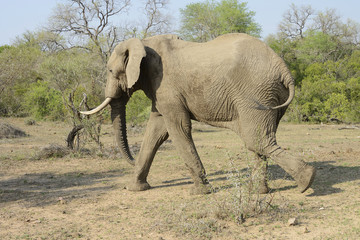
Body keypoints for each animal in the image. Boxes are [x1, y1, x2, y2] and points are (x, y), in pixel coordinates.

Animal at [81, 33, 316, 195]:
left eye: (111, 71)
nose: (129, 160)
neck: (143, 41)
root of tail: (285, 70)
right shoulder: (160, 91)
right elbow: (156, 131)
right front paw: (134, 188)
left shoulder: (166, 85)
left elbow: (177, 128)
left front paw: (199, 192)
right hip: (269, 96)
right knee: (259, 140)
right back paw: (260, 191)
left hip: (256, 93)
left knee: (256, 140)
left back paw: (306, 182)